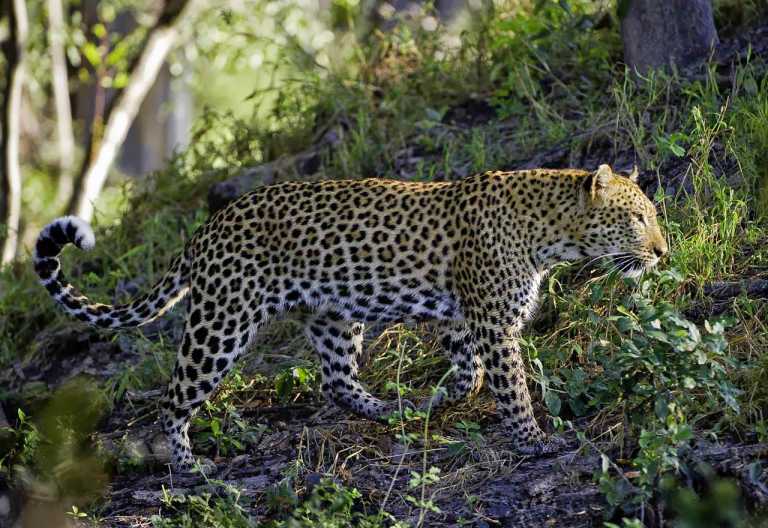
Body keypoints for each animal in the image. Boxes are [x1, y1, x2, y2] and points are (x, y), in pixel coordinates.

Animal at [34, 163, 667, 471]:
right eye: (637, 219)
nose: (662, 252)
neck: (549, 231)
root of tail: (204, 230)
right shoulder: (490, 319)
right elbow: (509, 383)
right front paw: (533, 440)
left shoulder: (460, 317)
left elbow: (471, 374)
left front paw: (436, 401)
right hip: (221, 322)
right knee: (174, 397)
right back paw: (189, 469)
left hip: (334, 317)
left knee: (337, 382)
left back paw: (390, 411)